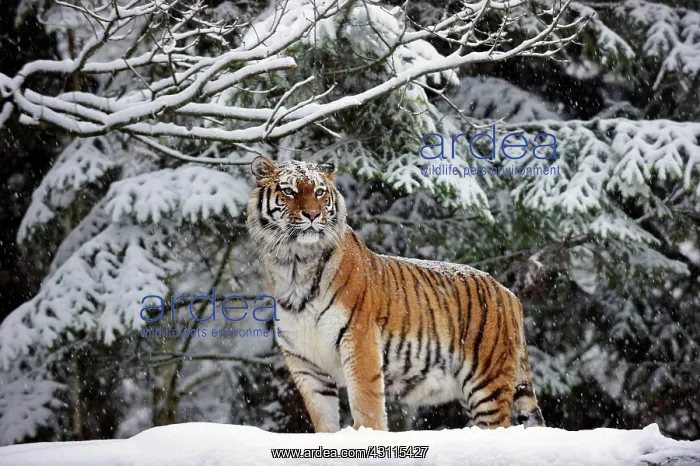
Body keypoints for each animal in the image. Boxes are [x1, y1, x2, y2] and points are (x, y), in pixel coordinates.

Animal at [246, 156, 545, 432]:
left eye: (319, 192)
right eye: (290, 191)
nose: (312, 215)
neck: (294, 264)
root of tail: (508, 293)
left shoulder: (359, 338)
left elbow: (366, 404)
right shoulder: (305, 362)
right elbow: (323, 419)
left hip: (487, 384)